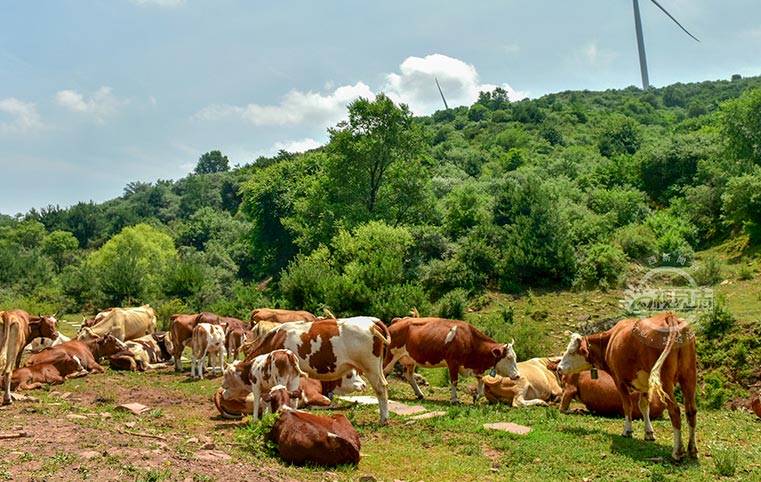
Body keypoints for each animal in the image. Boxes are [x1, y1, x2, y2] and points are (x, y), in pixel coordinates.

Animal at [236, 316, 392, 426]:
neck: (276, 338)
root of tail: (371, 320)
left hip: (370, 366)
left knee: (380, 388)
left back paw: (383, 420)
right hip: (377, 366)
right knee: (384, 385)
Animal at [382, 316, 520, 402]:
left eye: (515, 357)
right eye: (509, 357)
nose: (518, 376)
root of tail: (398, 321)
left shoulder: (473, 367)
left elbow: (481, 381)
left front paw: (477, 397)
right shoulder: (453, 362)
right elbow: (454, 381)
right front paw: (454, 399)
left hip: (409, 359)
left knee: (408, 375)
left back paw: (420, 394)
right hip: (391, 354)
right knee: (384, 371)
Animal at [556, 310, 696, 462]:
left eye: (571, 352)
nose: (559, 368)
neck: (609, 341)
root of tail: (669, 316)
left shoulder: (619, 380)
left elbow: (627, 405)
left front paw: (627, 431)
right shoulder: (645, 384)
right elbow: (644, 406)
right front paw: (649, 432)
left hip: (665, 379)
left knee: (675, 411)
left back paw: (677, 451)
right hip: (689, 375)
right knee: (691, 410)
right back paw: (692, 449)